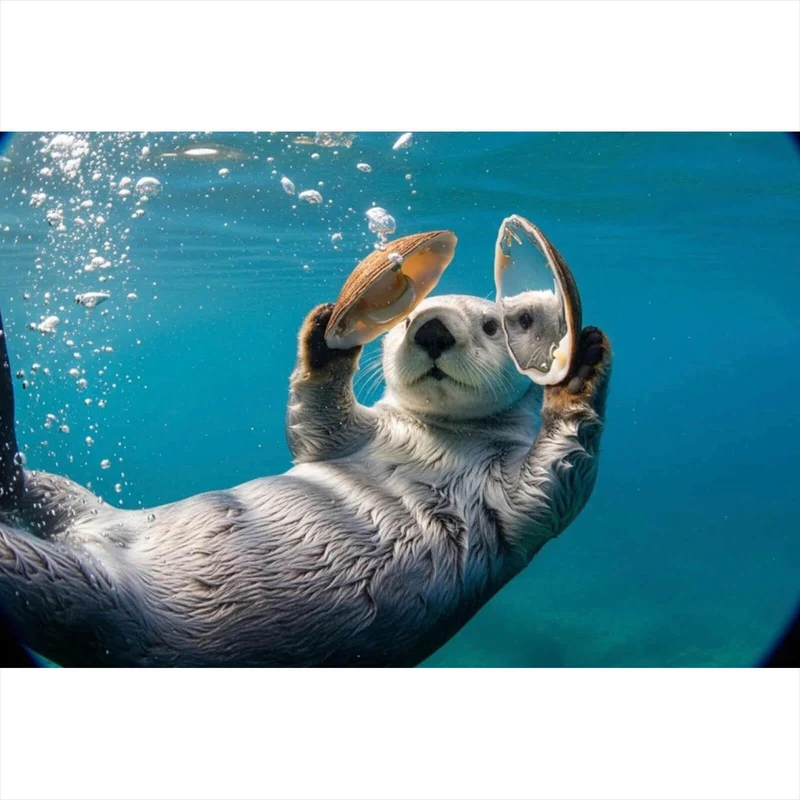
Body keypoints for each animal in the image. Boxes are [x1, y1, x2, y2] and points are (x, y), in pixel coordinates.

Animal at [0, 293, 611, 666]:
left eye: (494, 324)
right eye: (407, 316)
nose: (432, 328)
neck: (432, 436)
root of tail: (87, 535)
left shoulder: (510, 497)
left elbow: (555, 482)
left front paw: (580, 370)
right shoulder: (350, 437)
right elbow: (314, 424)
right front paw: (325, 333)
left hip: (81, 596)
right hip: (77, 508)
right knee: (35, 487)